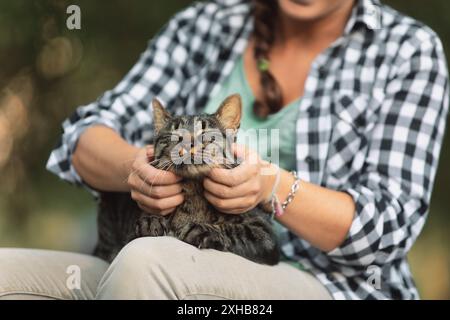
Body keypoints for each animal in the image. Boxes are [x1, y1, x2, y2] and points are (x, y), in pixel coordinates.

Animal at [93, 94, 280, 264]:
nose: (187, 145)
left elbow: (235, 231)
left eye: (204, 134)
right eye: (173, 135)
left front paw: (205, 230)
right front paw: (152, 221)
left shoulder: (265, 235)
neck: (193, 190)